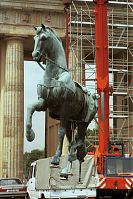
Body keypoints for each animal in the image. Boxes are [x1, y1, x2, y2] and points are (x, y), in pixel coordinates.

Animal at [25, 24, 97, 168]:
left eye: (43, 38)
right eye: (34, 38)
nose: (35, 55)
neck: (55, 74)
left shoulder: (64, 108)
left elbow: (60, 132)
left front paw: (56, 158)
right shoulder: (43, 103)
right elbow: (30, 108)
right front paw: (30, 135)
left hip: (83, 120)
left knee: (80, 137)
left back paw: (78, 153)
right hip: (71, 119)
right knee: (72, 138)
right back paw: (73, 154)